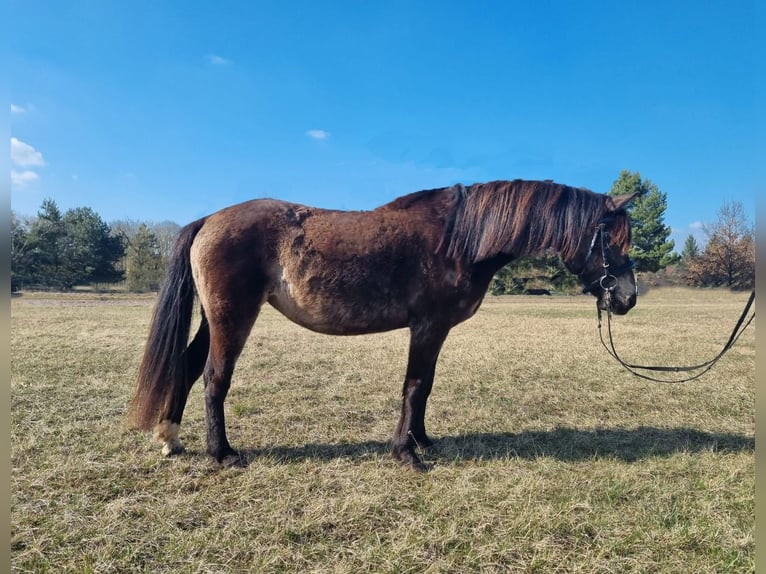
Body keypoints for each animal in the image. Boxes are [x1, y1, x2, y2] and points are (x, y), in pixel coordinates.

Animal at [128, 179, 637, 471]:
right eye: (610, 240)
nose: (627, 298)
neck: (460, 238)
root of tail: (210, 219)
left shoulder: (436, 330)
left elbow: (427, 385)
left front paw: (423, 440)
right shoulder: (428, 326)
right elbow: (414, 385)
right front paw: (406, 453)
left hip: (214, 318)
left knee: (187, 367)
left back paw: (171, 439)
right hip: (233, 316)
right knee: (214, 378)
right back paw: (222, 454)